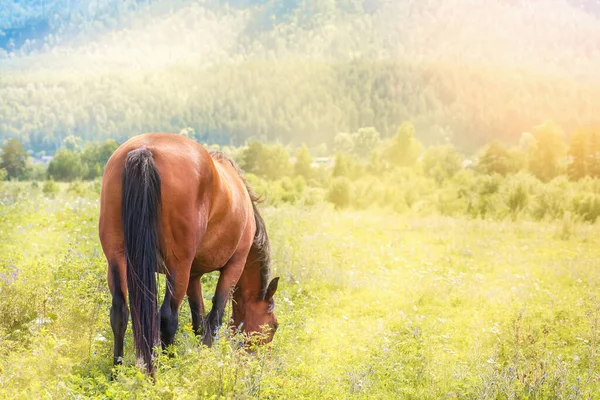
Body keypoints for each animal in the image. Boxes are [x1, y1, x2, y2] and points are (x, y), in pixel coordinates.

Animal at [98, 133, 278, 376]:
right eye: (274, 326)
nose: (261, 363)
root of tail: (144, 150)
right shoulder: (233, 266)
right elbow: (215, 316)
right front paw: (207, 357)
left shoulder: (193, 275)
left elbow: (198, 320)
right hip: (178, 267)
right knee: (167, 317)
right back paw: (167, 368)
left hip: (117, 260)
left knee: (119, 312)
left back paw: (116, 373)